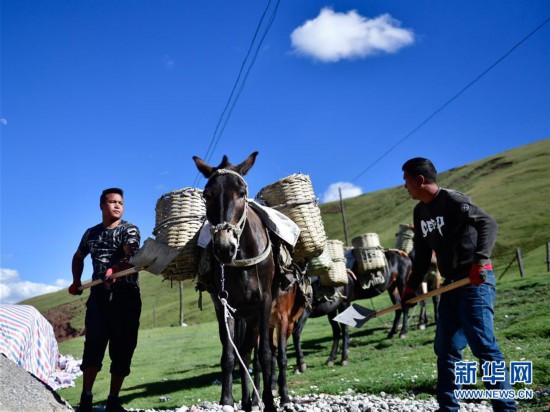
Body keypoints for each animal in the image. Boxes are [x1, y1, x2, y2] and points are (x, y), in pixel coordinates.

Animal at [195, 152, 304, 412]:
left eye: (242, 192)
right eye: (207, 194)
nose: (224, 248)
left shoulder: (264, 303)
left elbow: (265, 355)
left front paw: (270, 401)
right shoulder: (223, 306)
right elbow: (229, 355)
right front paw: (226, 400)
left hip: (261, 316)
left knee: (264, 354)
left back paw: (273, 397)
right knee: (244, 353)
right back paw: (247, 401)